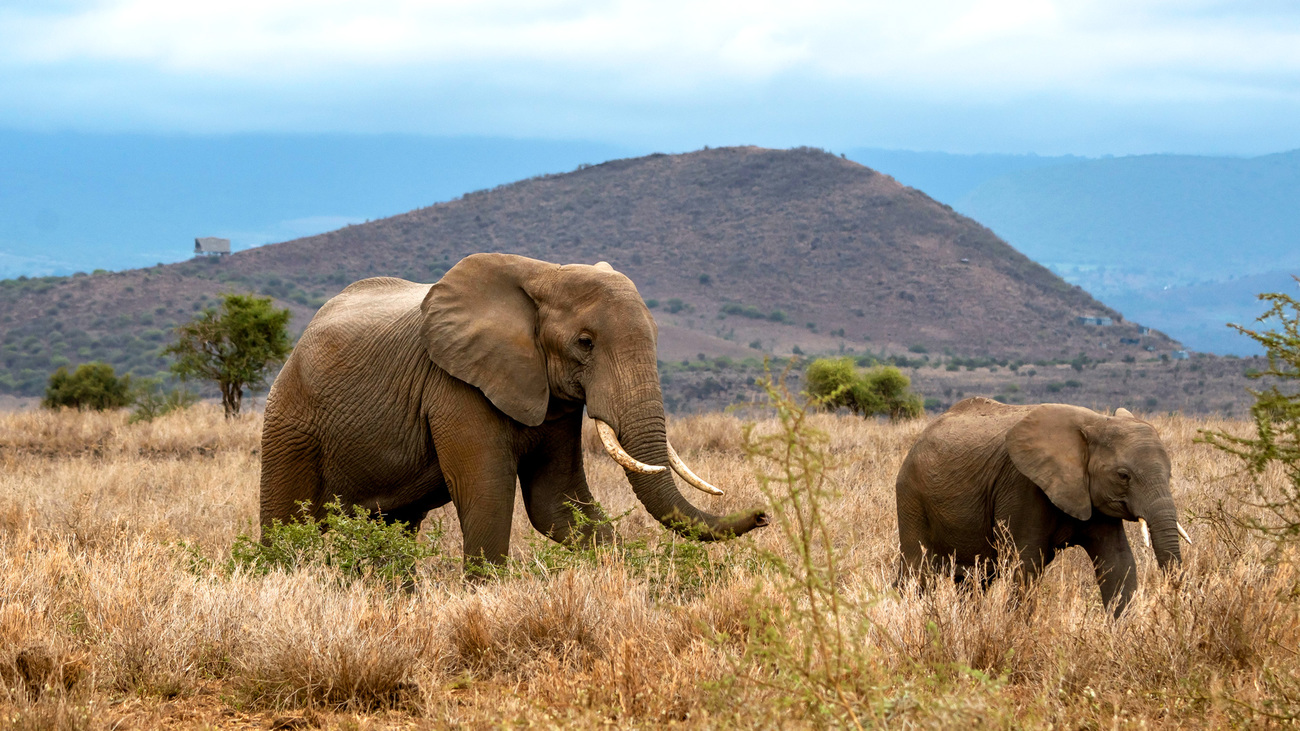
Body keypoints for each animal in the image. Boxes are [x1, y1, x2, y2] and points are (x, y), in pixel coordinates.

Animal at [258, 253, 764, 567]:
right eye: (585, 343)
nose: (762, 514)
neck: (544, 275)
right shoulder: (455, 386)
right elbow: (487, 493)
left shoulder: (552, 397)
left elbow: (556, 502)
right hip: (289, 422)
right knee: (284, 529)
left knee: (394, 528)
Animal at [894, 395, 1190, 611]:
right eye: (1123, 475)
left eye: (1169, 473)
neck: (1096, 422)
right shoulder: (1022, 486)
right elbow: (1025, 566)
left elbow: (1118, 563)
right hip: (912, 497)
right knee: (917, 574)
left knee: (973, 582)